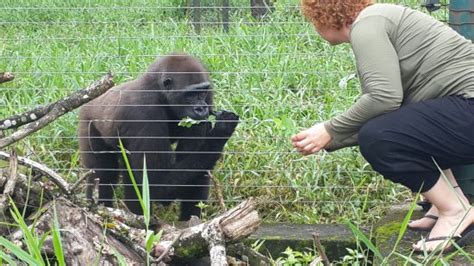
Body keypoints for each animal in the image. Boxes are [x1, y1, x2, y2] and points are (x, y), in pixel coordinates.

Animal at [80, 53, 241, 220]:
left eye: (201, 93)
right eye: (190, 94)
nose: (201, 108)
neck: (159, 91)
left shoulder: (207, 96)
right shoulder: (144, 114)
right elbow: (157, 185)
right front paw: (221, 131)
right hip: (88, 123)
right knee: (103, 174)